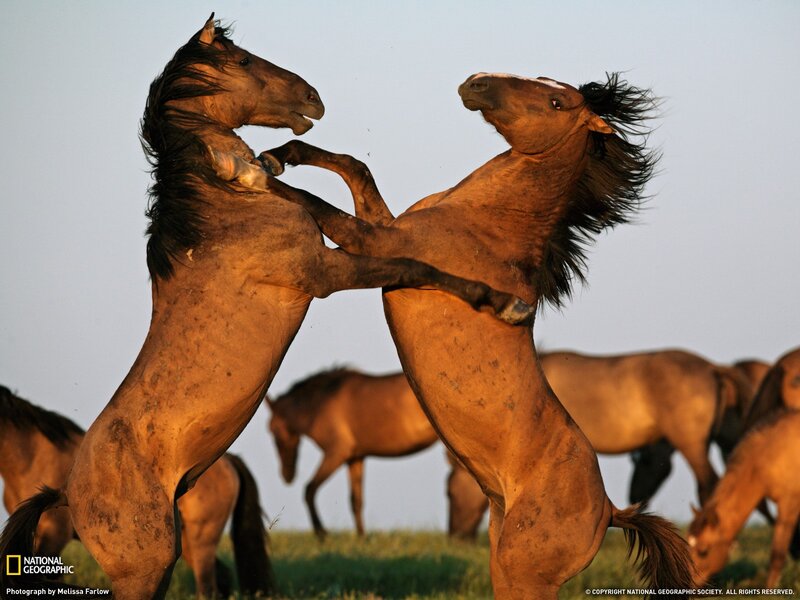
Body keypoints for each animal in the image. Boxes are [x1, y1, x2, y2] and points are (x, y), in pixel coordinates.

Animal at [266, 367, 438, 539]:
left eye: (273, 430)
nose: (287, 476)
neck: (323, 400)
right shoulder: (355, 458)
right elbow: (356, 501)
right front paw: (362, 537)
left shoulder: (336, 453)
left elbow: (310, 490)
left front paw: (321, 533)